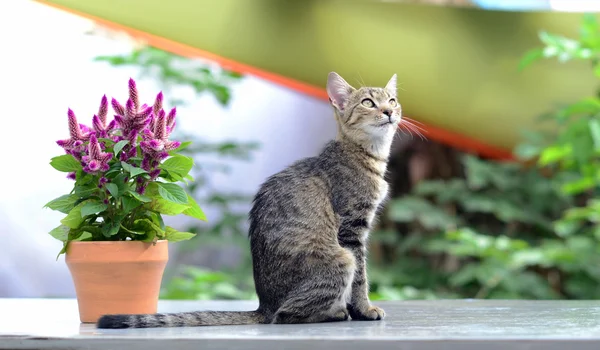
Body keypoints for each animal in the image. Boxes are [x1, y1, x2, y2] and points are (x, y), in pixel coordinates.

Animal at [96, 72, 400, 330]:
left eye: (392, 100)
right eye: (368, 102)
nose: (389, 112)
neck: (368, 155)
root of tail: (263, 306)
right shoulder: (351, 228)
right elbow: (361, 278)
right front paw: (365, 309)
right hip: (341, 257)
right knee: (286, 315)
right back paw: (335, 313)